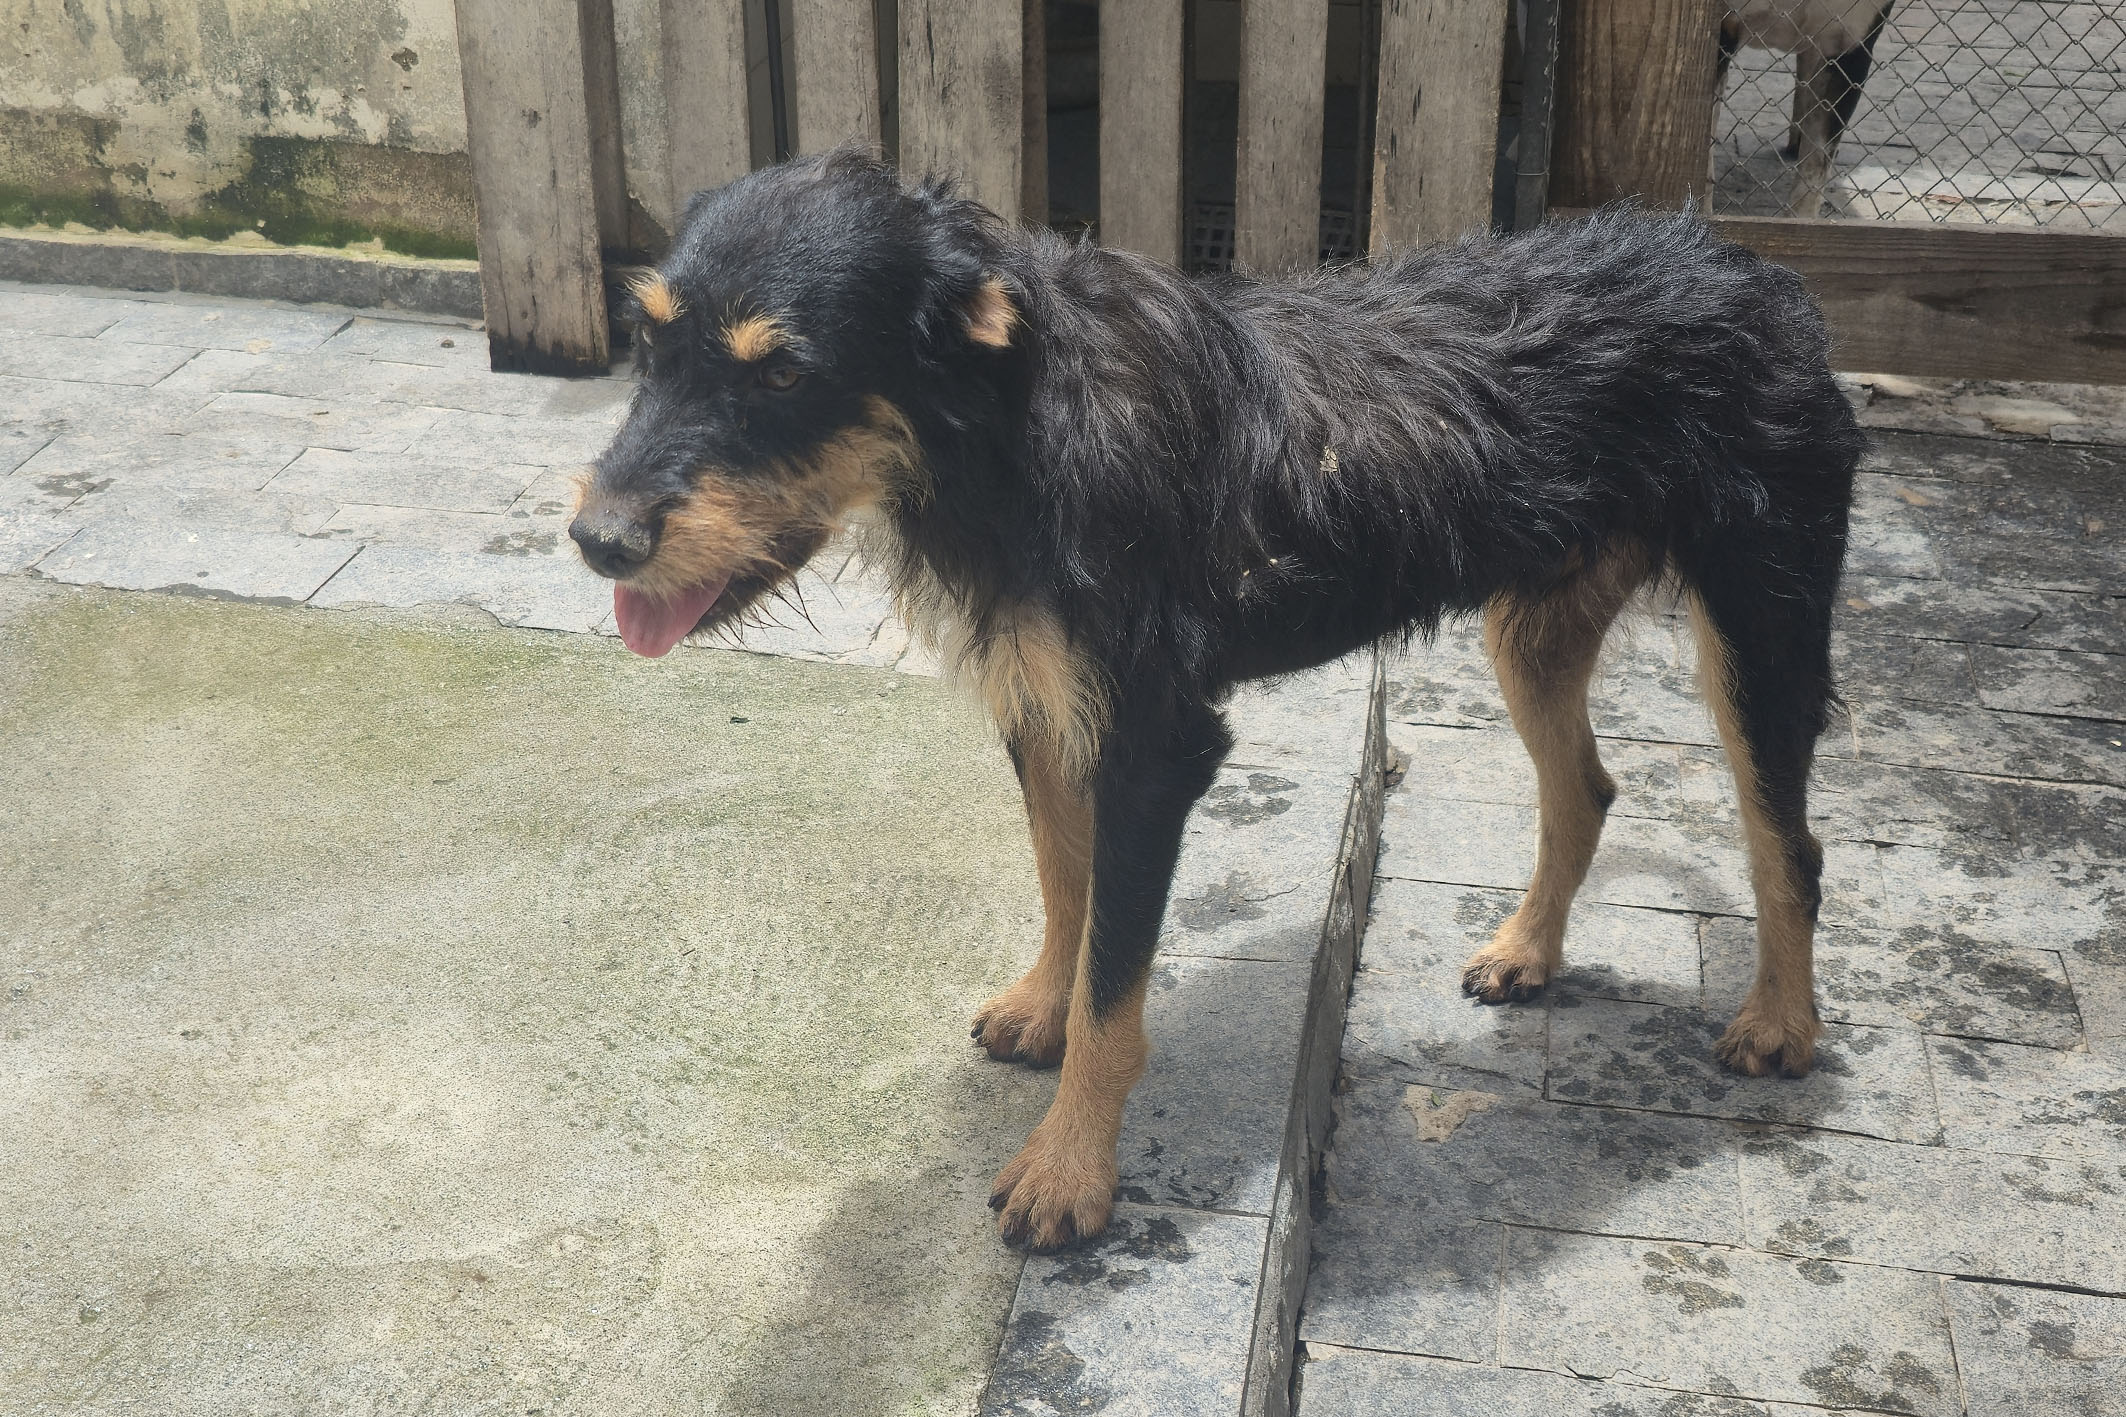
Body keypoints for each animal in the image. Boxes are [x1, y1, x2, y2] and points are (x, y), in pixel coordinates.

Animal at [568, 148, 1863, 1251]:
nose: (597, 542)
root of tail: (1748, 265)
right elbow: (1067, 889)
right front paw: (1042, 1004)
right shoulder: (1045, 711)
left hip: (1762, 626)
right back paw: (1527, 949)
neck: (1013, 429)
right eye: (648, 343)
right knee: (1584, 789)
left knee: (1786, 842)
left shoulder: (1155, 744)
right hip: (1534, 631)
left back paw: (1779, 1022)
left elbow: (1115, 982)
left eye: (785, 370)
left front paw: (1069, 1169)